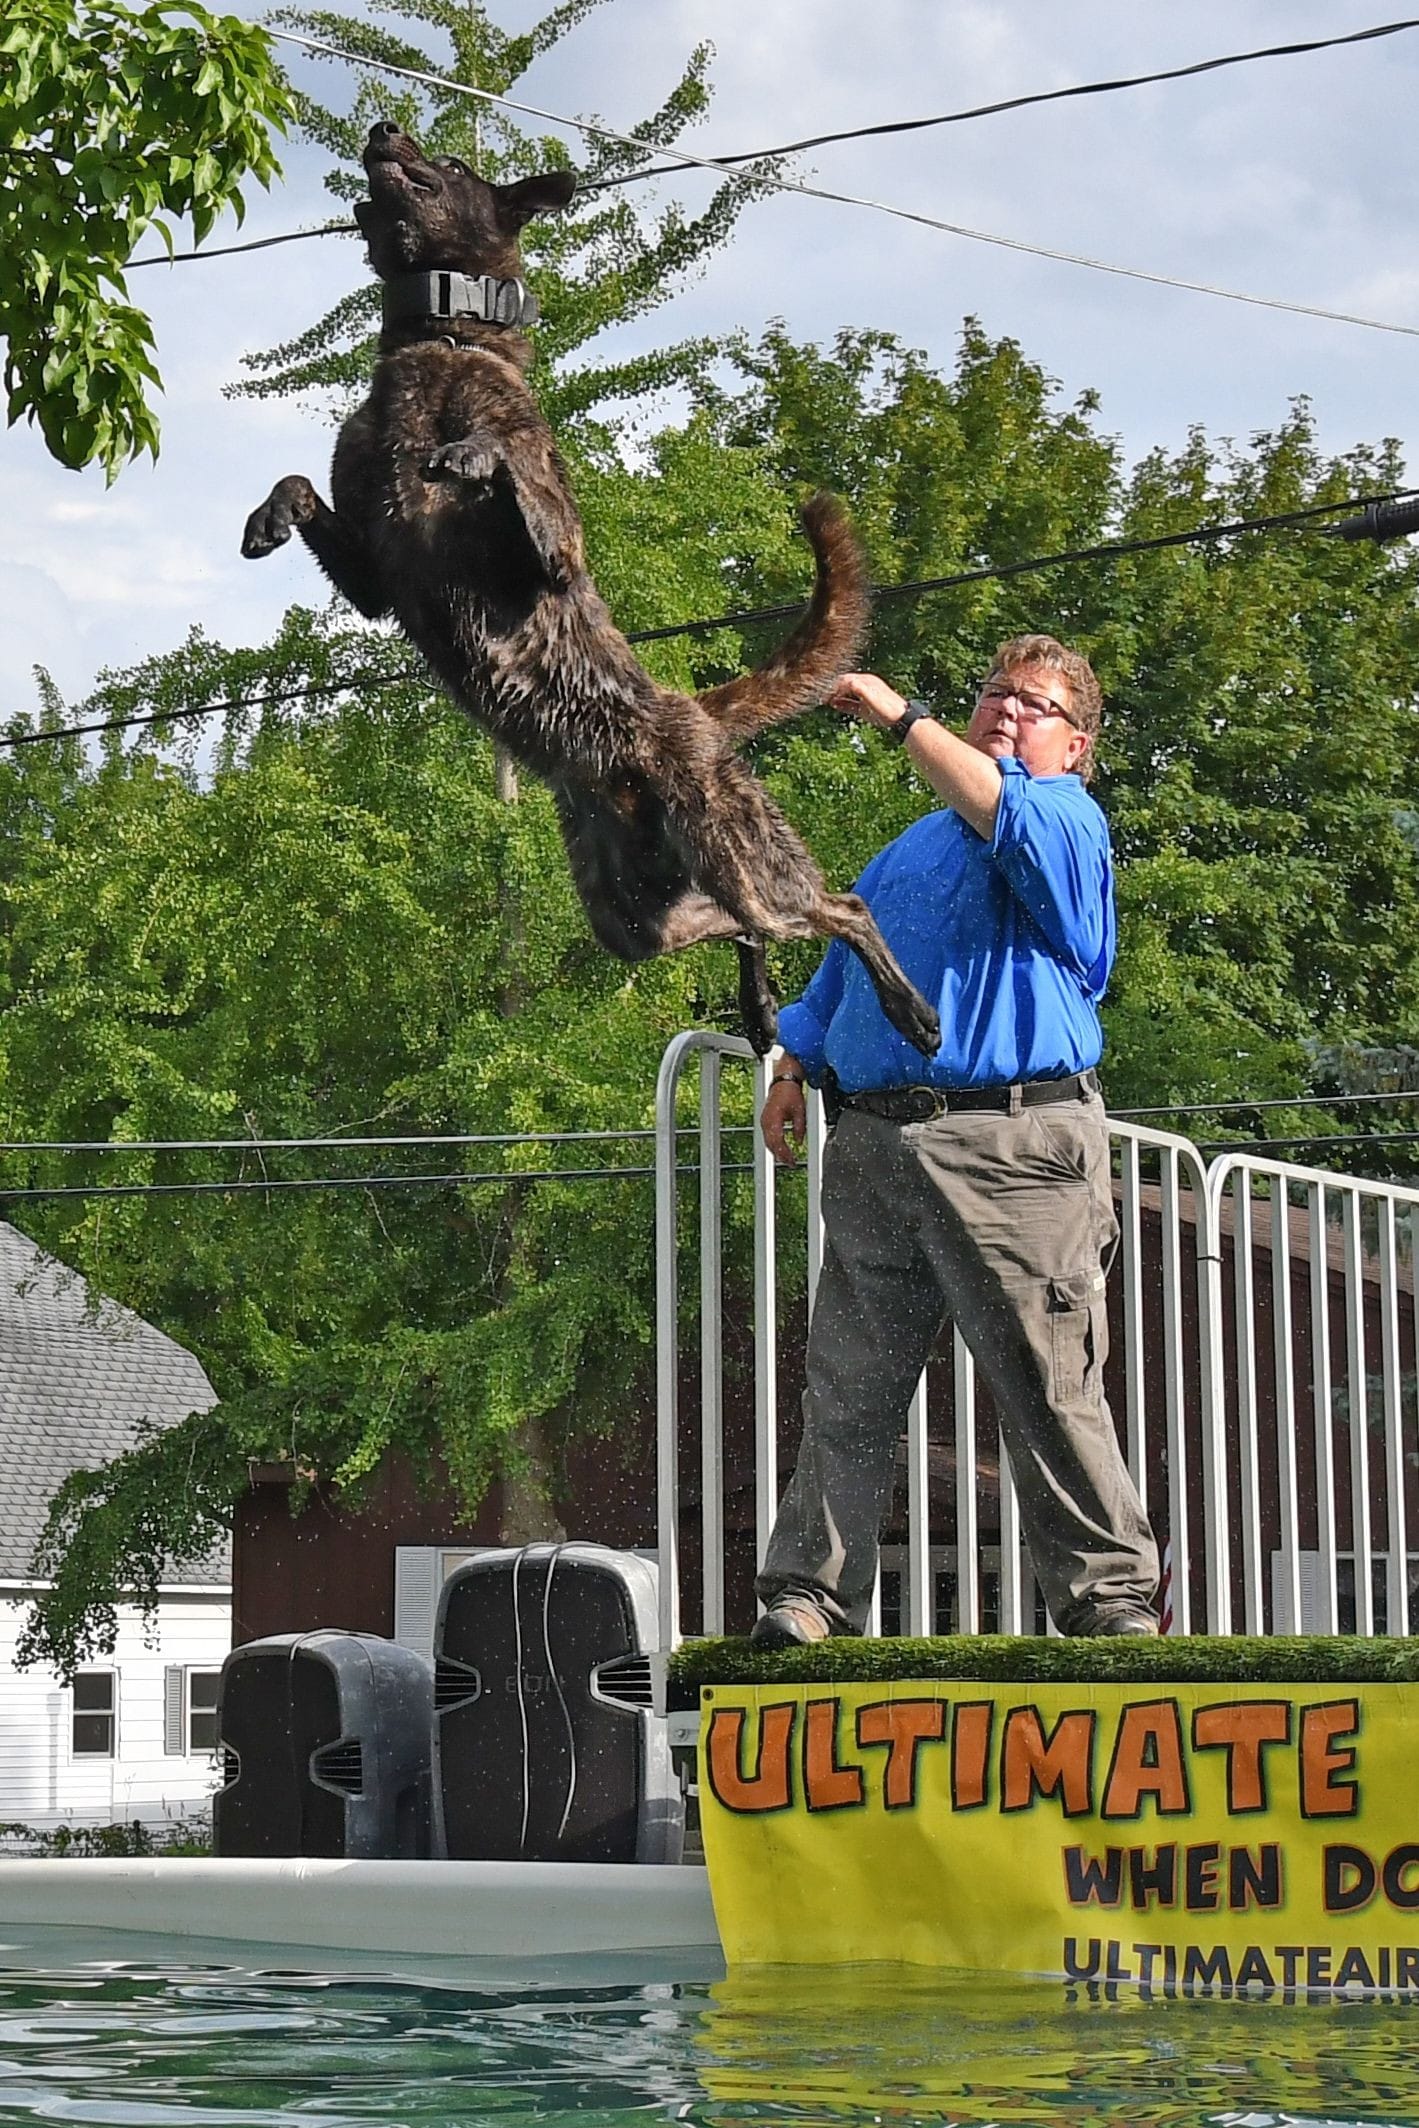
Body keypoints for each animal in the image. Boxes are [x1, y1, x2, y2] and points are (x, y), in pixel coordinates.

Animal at [244, 124, 944, 1055]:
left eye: (453, 165)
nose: (383, 129)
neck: (444, 343)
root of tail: (693, 714)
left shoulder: (553, 556)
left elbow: (513, 467)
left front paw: (473, 454)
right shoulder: (374, 581)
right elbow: (297, 485)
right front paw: (267, 518)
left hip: (737, 852)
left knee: (841, 906)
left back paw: (913, 1011)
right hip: (633, 920)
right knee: (743, 926)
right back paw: (760, 1006)